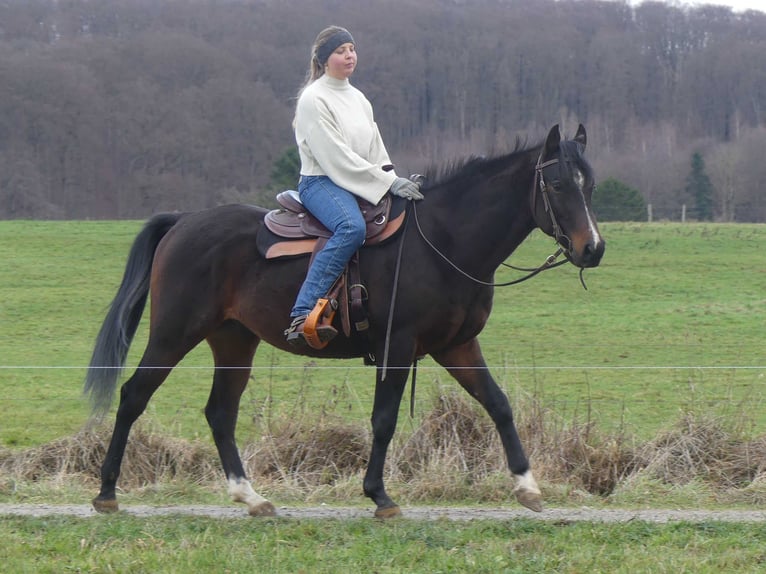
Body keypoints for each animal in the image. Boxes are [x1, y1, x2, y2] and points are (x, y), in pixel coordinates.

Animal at [84, 123, 604, 518]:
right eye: (559, 185)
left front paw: (527, 486)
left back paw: (250, 497)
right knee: (133, 396)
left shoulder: (456, 345)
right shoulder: (398, 346)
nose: (593, 249)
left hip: (234, 341)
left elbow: (498, 404)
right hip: (174, 333)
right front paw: (379, 496)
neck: (444, 240)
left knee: (220, 413)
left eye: (591, 185)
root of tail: (184, 220)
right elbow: (384, 419)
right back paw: (107, 492)